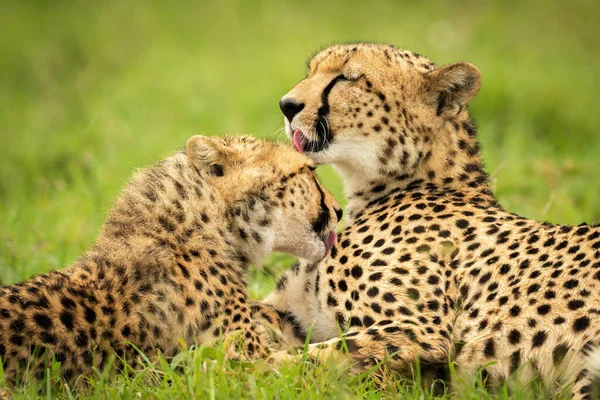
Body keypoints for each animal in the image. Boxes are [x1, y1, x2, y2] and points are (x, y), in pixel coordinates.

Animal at [266, 43, 600, 400]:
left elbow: (305, 358)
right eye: (311, 71)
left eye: (347, 78)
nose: (286, 105)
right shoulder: (295, 312)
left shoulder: (421, 330)